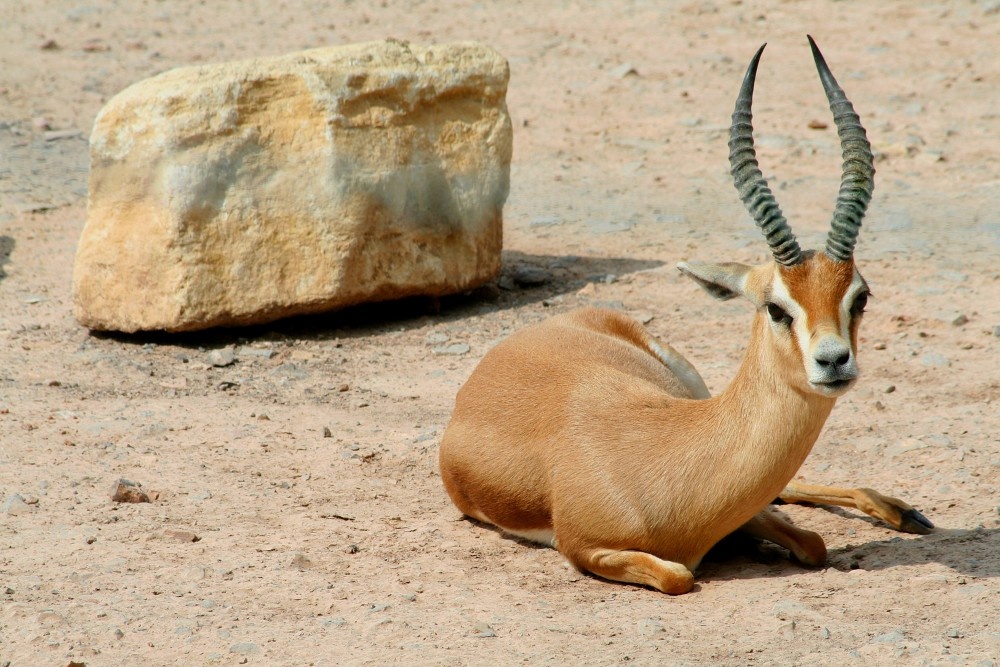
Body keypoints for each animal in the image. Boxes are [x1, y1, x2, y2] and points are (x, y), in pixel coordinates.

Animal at [438, 36, 933, 594]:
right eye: (776, 307)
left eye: (860, 297)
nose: (834, 361)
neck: (669, 458)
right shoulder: (584, 549)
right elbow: (680, 574)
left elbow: (811, 541)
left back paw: (906, 512)